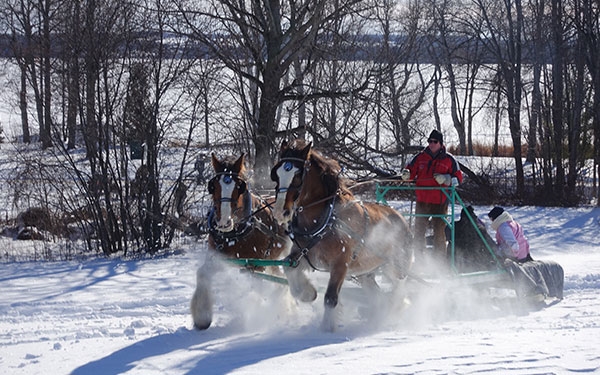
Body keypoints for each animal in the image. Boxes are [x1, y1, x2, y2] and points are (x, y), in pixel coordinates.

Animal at [189, 152, 290, 328]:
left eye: (239, 187)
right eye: (213, 187)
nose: (224, 222)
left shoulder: (256, 265)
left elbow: (256, 289)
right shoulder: (219, 258)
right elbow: (202, 273)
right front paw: (202, 317)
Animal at [270, 141, 412, 332]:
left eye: (298, 175)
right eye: (275, 175)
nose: (280, 212)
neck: (327, 218)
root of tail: (403, 219)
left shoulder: (340, 263)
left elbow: (330, 297)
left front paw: (326, 328)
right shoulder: (303, 254)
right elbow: (289, 269)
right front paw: (308, 293)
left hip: (395, 266)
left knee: (399, 290)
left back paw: (391, 314)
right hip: (365, 272)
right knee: (377, 294)